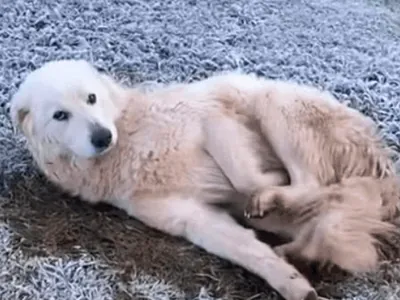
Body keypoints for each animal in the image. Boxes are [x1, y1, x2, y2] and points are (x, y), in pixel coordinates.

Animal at [9, 59, 400, 300]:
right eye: (61, 115)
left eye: (91, 98)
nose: (103, 136)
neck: (128, 138)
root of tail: (383, 165)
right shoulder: (190, 217)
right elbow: (246, 250)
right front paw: (291, 283)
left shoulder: (212, 119)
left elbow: (246, 179)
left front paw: (268, 181)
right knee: (319, 216)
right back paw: (297, 250)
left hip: (271, 101)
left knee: (311, 182)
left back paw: (274, 197)